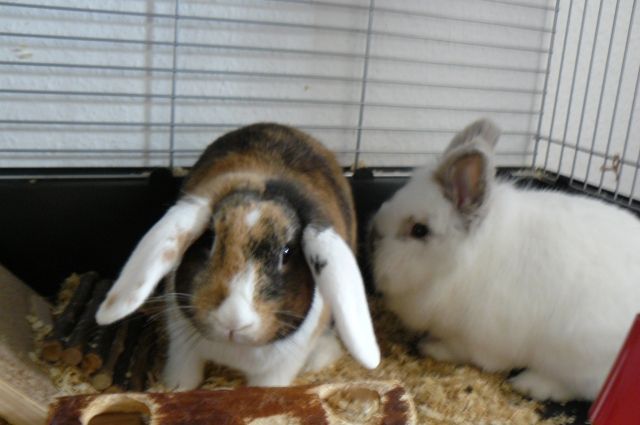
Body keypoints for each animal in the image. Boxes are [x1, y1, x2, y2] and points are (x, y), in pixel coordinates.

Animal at [95, 123, 380, 390]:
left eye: (287, 253)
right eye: (209, 239)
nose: (233, 320)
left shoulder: (280, 367)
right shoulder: (181, 346)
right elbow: (184, 376)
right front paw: (176, 388)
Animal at [369, 118, 640, 401]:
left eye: (419, 230)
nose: (372, 238)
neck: (461, 264)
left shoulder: (475, 338)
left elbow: (462, 351)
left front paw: (431, 347)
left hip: (576, 354)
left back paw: (531, 383)